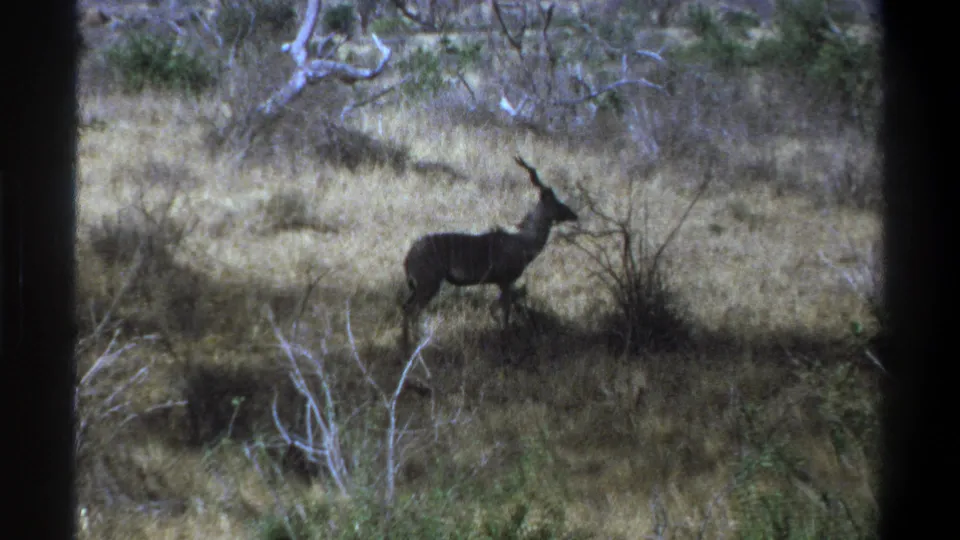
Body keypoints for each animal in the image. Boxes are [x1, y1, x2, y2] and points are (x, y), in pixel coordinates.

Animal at [401, 155, 579, 355]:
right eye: (556, 202)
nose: (574, 214)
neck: (523, 242)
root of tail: (408, 258)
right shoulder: (505, 280)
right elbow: (504, 311)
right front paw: (505, 341)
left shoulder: (501, 283)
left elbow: (496, 308)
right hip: (428, 284)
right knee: (412, 311)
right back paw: (415, 347)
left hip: (418, 287)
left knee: (405, 307)